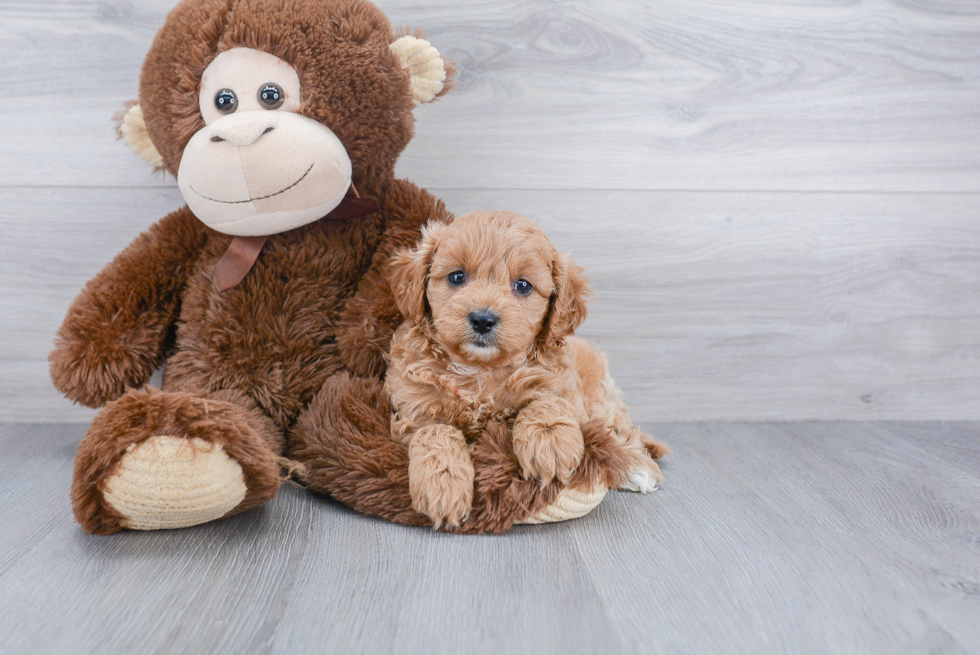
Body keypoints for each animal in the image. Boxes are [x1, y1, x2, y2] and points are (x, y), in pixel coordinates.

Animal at [382, 213, 668, 532]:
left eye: (523, 285)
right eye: (456, 277)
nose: (482, 319)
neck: (481, 369)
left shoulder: (562, 386)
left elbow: (546, 401)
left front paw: (549, 444)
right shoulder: (414, 409)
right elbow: (436, 432)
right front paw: (443, 484)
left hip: (599, 397)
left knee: (615, 430)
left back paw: (635, 465)